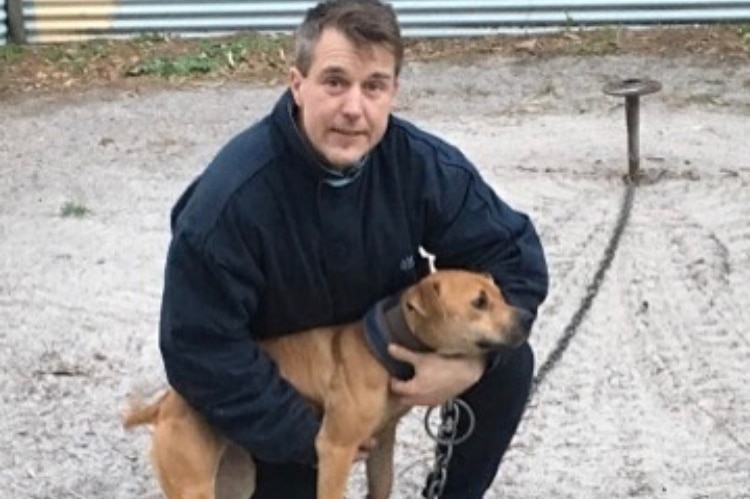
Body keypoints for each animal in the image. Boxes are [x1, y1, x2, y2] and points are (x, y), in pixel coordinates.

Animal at [123, 272, 532, 499]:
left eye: (500, 294)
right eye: (479, 302)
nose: (528, 316)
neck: (381, 344)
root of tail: (165, 403)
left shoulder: (382, 444)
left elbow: (381, 485)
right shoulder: (335, 450)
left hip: (235, 480)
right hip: (193, 486)